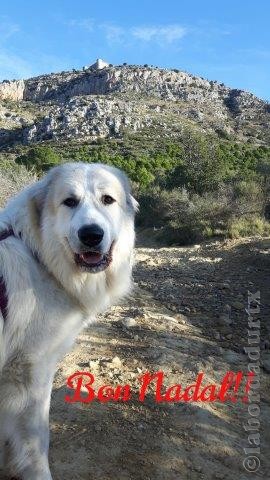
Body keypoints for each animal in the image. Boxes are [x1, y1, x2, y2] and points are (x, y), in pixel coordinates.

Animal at [0, 163, 137, 478]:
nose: (91, 235)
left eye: (108, 200)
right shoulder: (30, 373)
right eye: (69, 202)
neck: (39, 256)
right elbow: (37, 439)